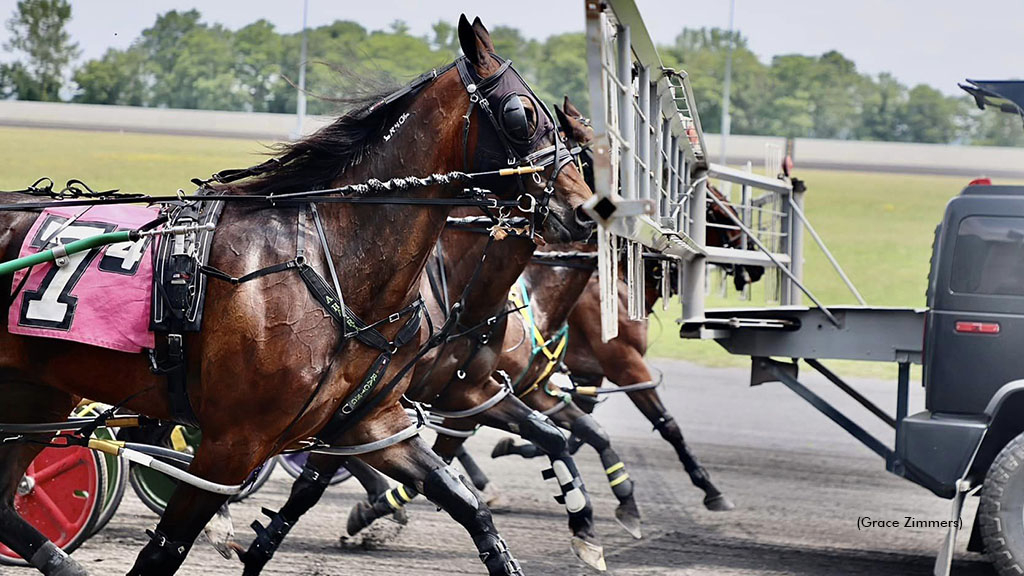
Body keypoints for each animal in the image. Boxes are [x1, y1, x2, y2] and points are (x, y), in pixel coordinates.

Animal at [0, 14, 593, 573]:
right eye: (521, 114)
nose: (585, 211)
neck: (332, 263)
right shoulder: (232, 445)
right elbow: (165, 551)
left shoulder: (376, 419)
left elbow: (471, 503)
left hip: (36, 392)